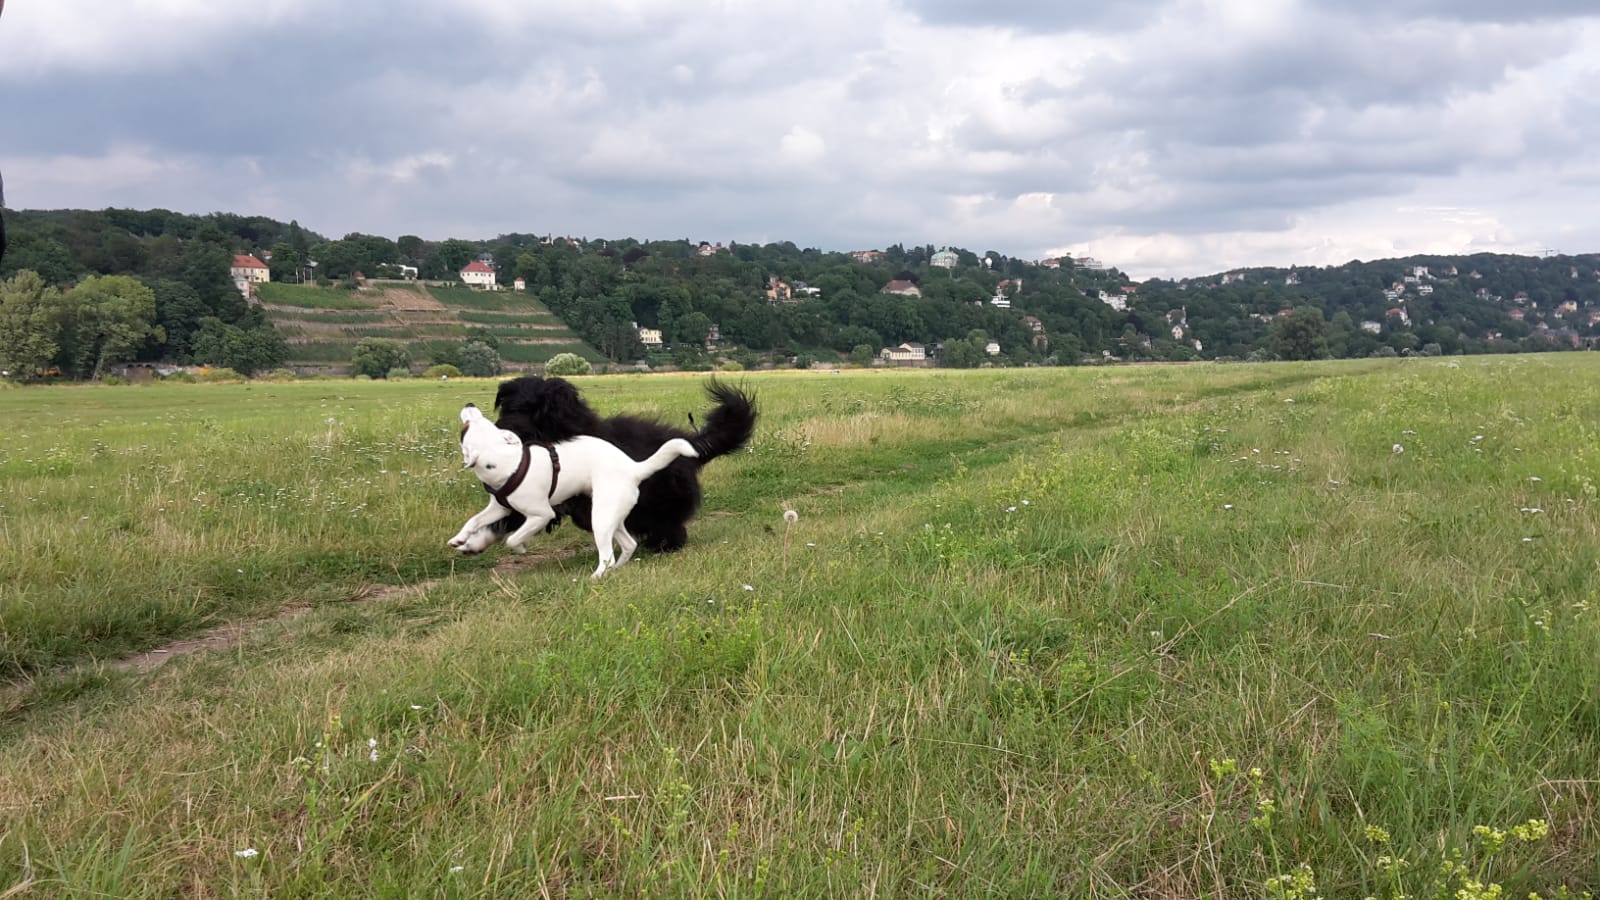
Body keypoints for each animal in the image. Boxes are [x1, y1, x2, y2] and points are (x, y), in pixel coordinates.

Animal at [451, 400, 700, 573]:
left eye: (466, 427)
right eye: (472, 424)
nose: (469, 404)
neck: (511, 463)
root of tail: (634, 468)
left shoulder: (541, 514)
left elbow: (513, 539)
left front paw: (520, 547)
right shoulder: (499, 507)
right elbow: (474, 521)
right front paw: (459, 539)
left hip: (599, 518)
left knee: (608, 554)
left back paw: (597, 576)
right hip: (611, 517)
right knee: (629, 544)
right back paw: (616, 569)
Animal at [457, 373, 755, 554]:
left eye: (536, 411)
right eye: (510, 407)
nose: (508, 429)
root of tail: (690, 441)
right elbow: (506, 517)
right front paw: (474, 541)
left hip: (661, 497)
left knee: (669, 523)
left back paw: (662, 545)